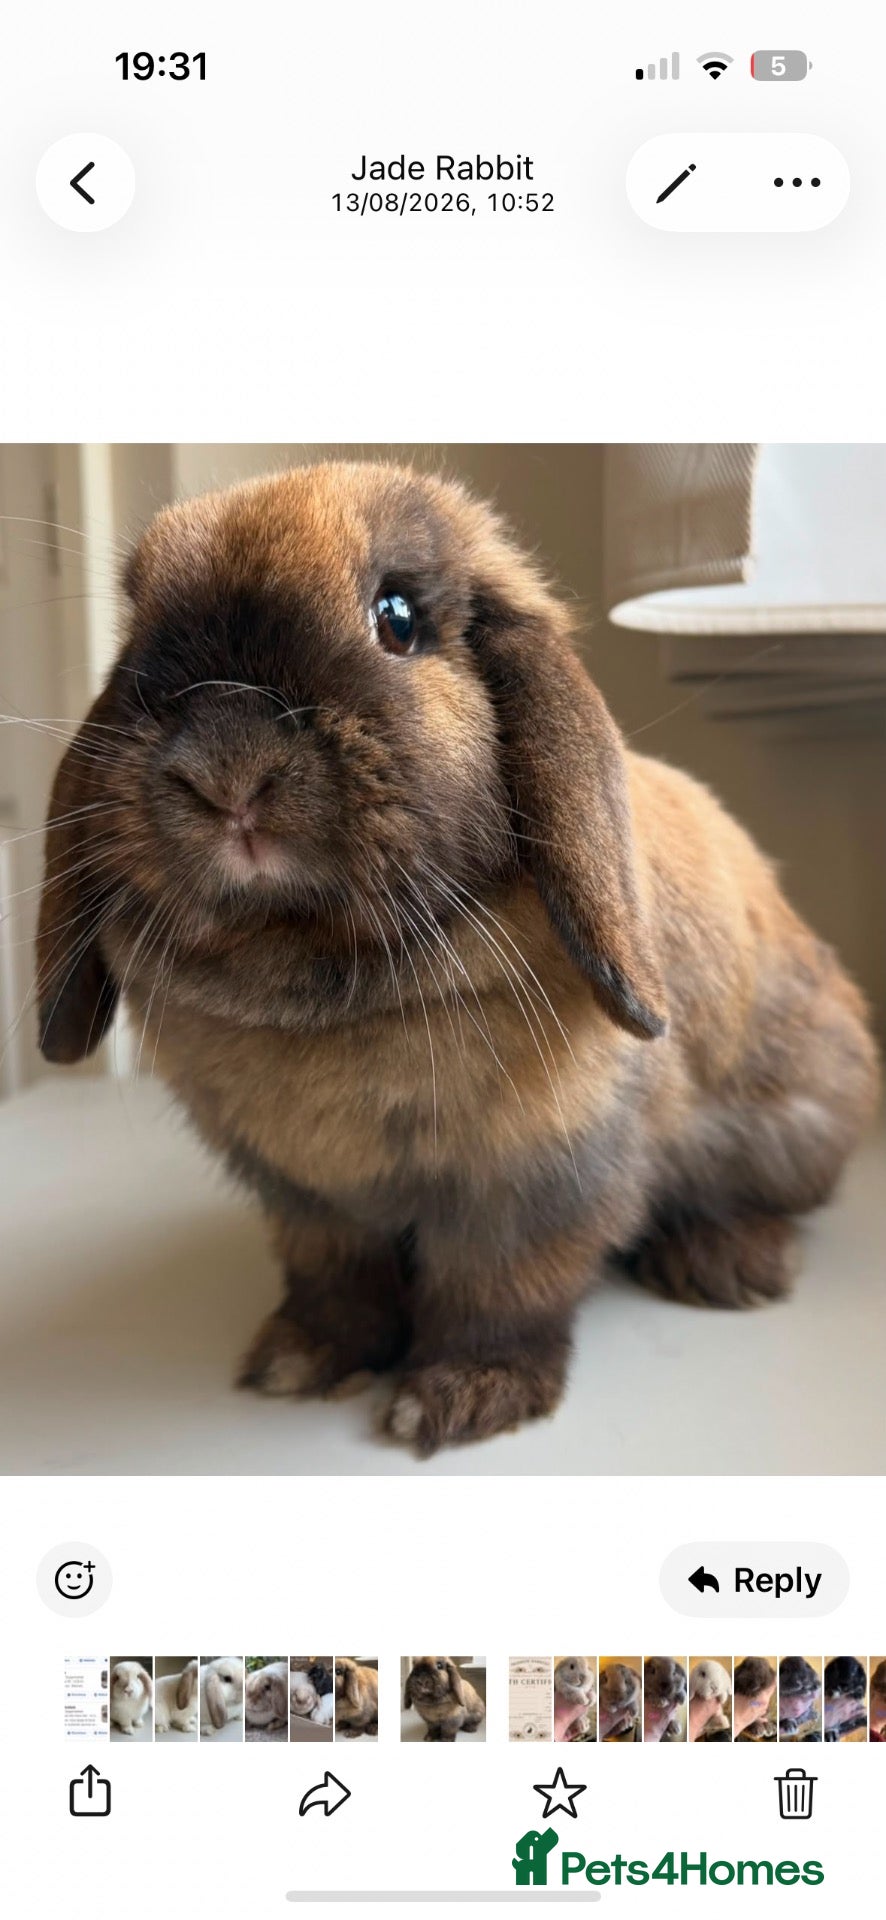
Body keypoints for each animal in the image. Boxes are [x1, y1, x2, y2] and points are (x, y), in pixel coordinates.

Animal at [36, 463, 880, 1456]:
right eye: (136, 636)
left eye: (398, 618)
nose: (226, 771)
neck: (322, 984)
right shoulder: (309, 1203)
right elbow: (336, 1284)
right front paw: (299, 1361)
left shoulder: (533, 1182)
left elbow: (501, 1290)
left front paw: (462, 1398)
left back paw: (728, 1265)